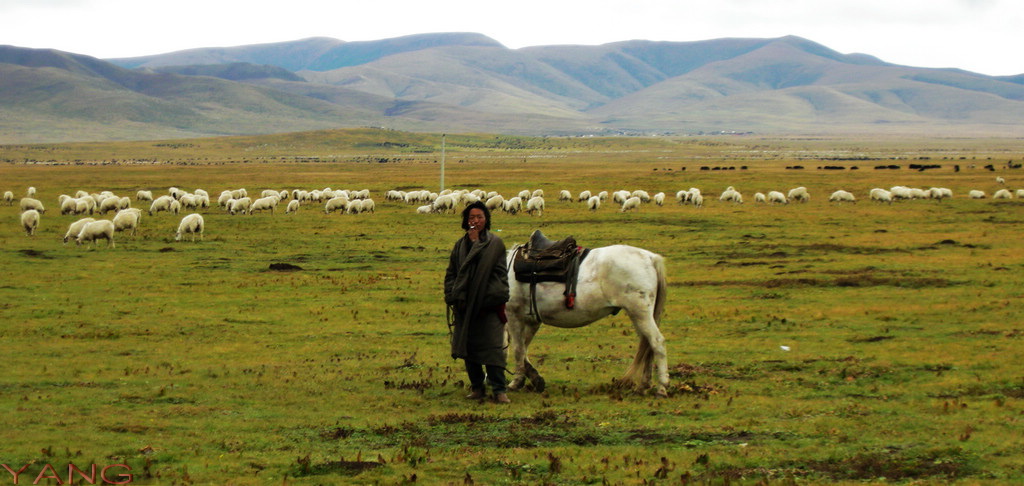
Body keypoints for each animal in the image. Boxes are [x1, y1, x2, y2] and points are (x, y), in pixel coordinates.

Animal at [505, 243, 671, 394]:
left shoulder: (513, 315)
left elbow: (518, 349)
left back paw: (662, 387)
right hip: (638, 316)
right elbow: (523, 348)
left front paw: (516, 382)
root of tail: (650, 258)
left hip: (640, 313)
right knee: (647, 344)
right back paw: (644, 384)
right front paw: (536, 379)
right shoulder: (532, 321)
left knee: (657, 342)